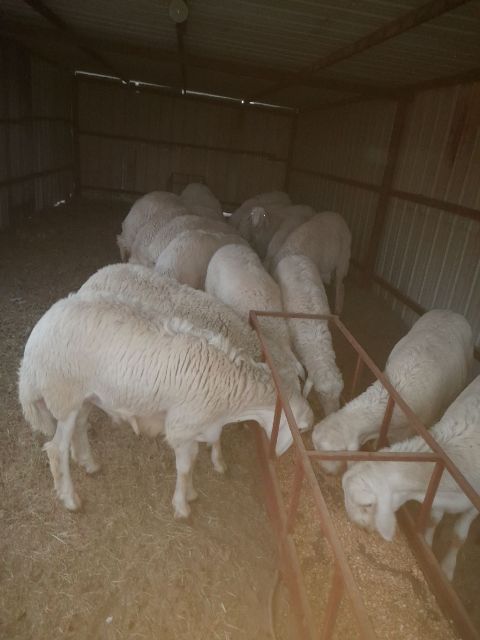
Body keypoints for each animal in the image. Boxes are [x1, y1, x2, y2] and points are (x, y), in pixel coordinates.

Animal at [18, 293, 312, 519]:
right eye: (301, 430)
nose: (279, 457)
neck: (234, 393)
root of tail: (36, 336)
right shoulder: (182, 425)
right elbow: (185, 466)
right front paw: (182, 506)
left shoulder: (196, 426)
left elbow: (192, 460)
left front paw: (190, 493)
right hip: (63, 393)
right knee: (56, 448)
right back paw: (70, 499)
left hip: (84, 395)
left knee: (79, 426)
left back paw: (89, 463)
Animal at [342, 374, 480, 580]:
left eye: (368, 504)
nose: (361, 528)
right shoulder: (437, 493)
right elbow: (433, 519)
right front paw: (428, 545)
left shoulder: (472, 507)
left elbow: (458, 537)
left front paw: (447, 569)